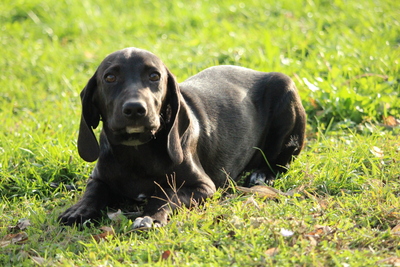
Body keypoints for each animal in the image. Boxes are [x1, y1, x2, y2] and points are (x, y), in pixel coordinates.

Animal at [57, 47, 304, 228]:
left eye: (154, 76)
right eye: (110, 77)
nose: (136, 109)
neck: (137, 152)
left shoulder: (203, 187)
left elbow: (166, 194)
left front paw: (150, 217)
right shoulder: (98, 178)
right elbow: (93, 193)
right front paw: (79, 210)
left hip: (286, 92)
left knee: (280, 161)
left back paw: (262, 174)